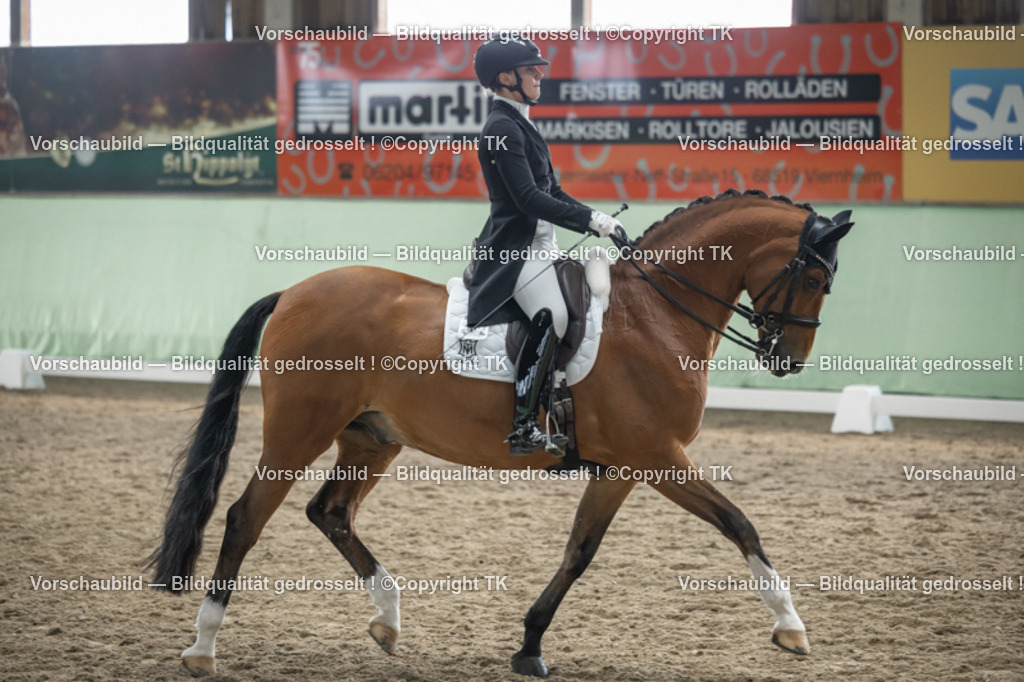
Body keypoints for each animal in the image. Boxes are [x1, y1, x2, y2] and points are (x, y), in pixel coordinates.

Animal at [148, 189, 853, 677]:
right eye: (815, 278)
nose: (788, 361)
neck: (654, 313)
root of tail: (294, 290)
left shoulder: (621, 469)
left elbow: (579, 552)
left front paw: (530, 646)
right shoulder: (657, 456)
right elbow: (740, 523)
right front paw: (791, 628)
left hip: (370, 438)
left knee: (331, 513)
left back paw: (388, 620)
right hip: (298, 433)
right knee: (244, 518)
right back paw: (203, 647)